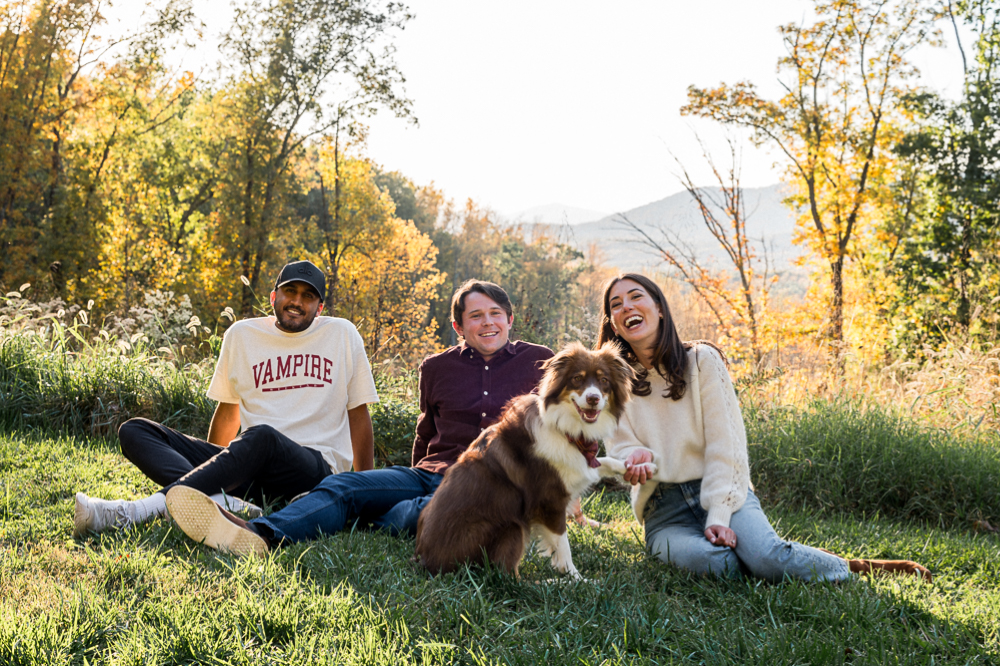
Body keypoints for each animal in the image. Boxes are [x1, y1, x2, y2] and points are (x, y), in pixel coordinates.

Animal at [414, 342, 656, 576]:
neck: (565, 428)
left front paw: (644, 466)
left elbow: (603, 462)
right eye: (577, 378)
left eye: (604, 380)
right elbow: (563, 546)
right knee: (507, 577)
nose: (593, 398)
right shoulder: (550, 501)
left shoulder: (578, 464)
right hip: (512, 526)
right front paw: (575, 578)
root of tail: (424, 560)